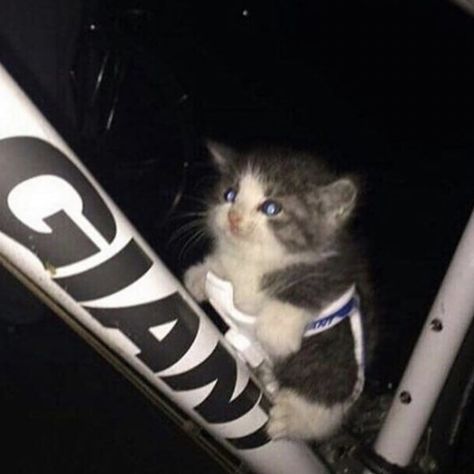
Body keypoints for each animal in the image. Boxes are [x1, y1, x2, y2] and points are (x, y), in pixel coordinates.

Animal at [183, 142, 376, 440]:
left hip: (338, 340)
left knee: (331, 376)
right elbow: (222, 269)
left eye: (271, 208)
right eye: (230, 194)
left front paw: (277, 327)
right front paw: (201, 274)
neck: (257, 262)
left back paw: (296, 416)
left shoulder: (345, 268)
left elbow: (317, 281)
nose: (234, 217)